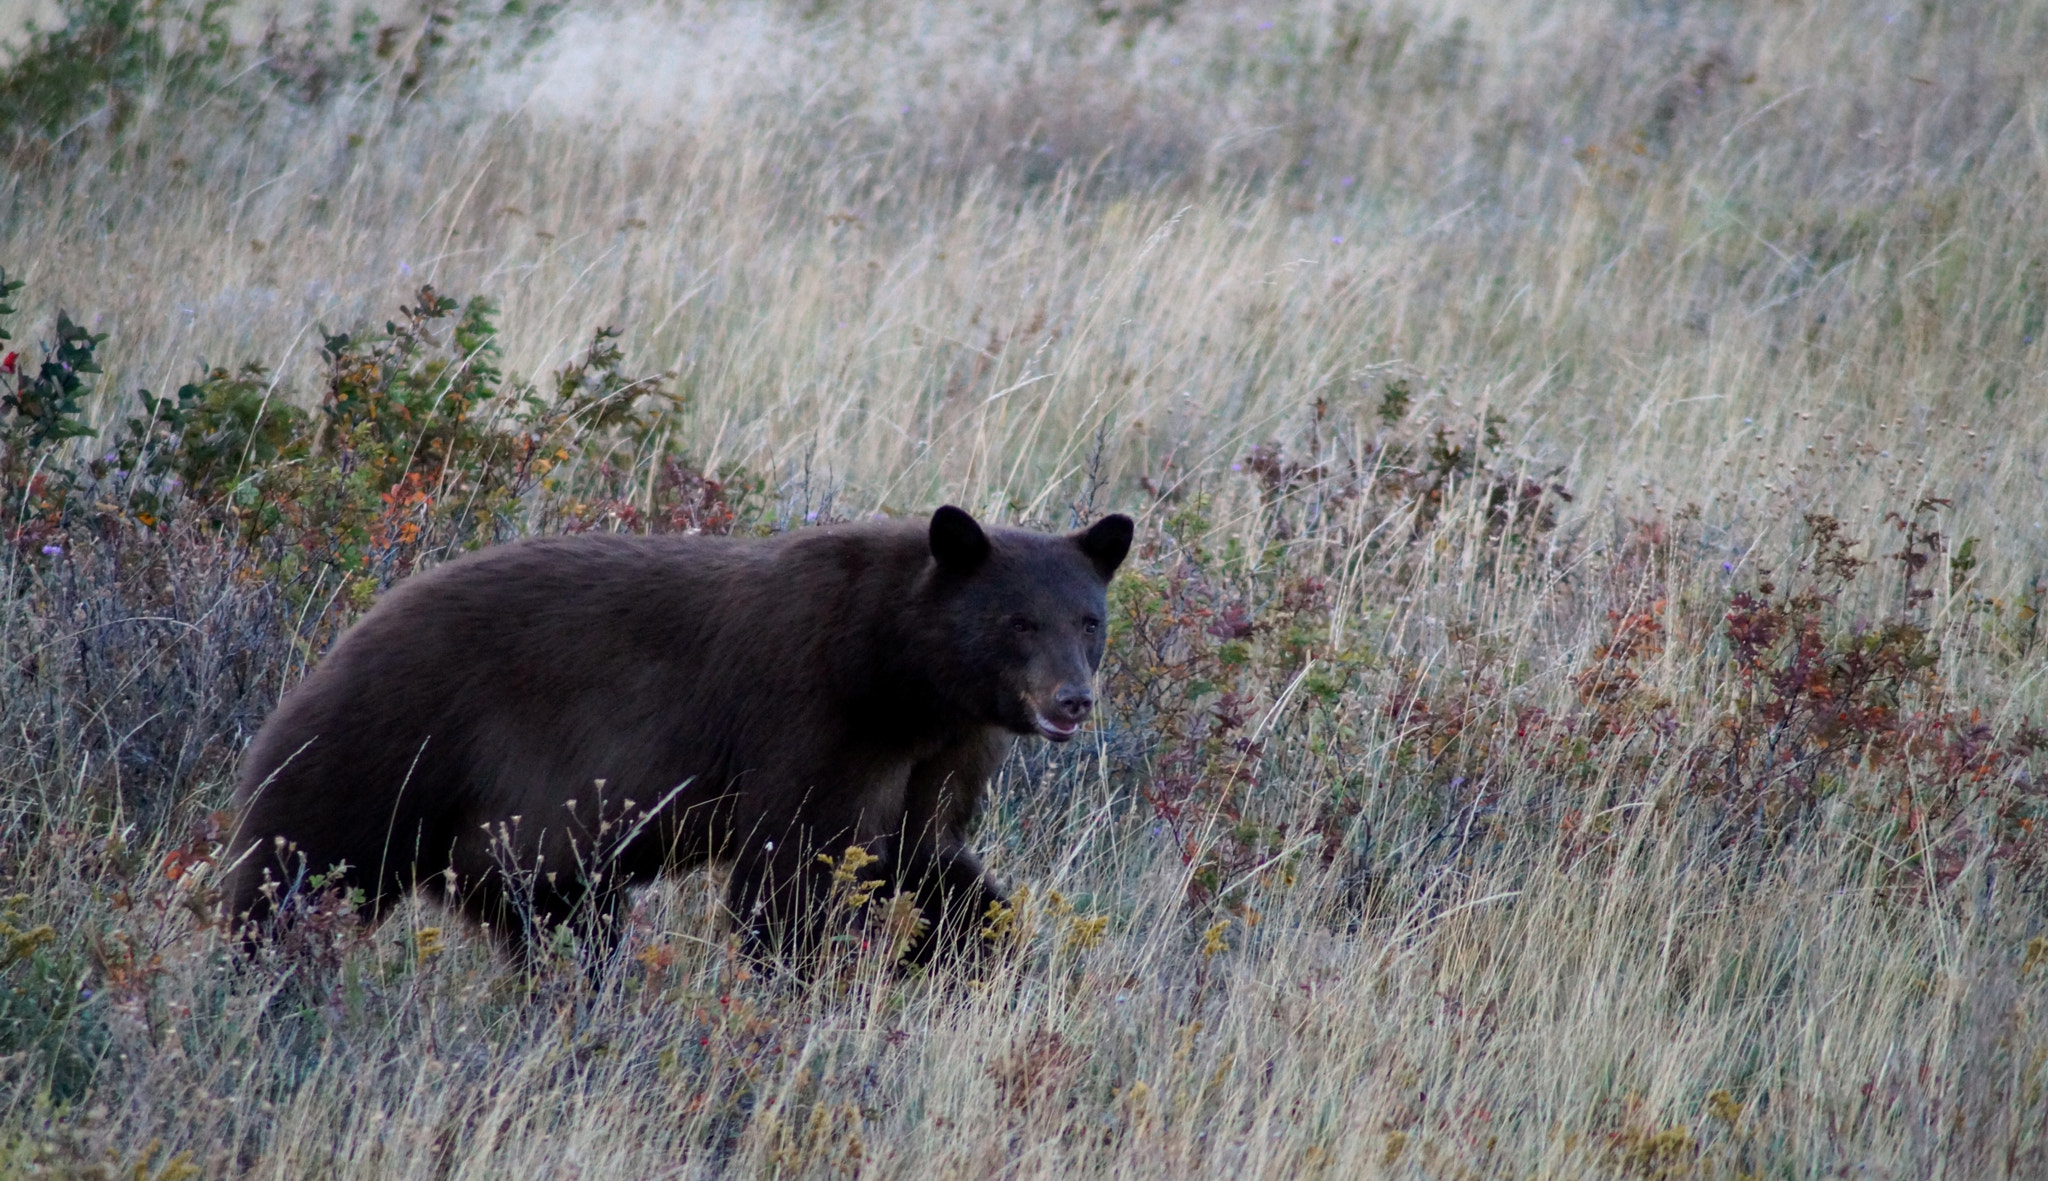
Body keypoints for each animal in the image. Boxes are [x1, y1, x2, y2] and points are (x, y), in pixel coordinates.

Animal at [224, 501, 1138, 961]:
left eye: (1088, 620)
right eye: (1019, 621)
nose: (1071, 700)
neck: (901, 675)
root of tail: (339, 643)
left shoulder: (940, 754)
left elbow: (923, 861)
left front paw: (985, 953)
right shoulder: (809, 716)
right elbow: (791, 872)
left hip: (516, 842)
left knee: (557, 918)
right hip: (391, 749)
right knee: (299, 868)